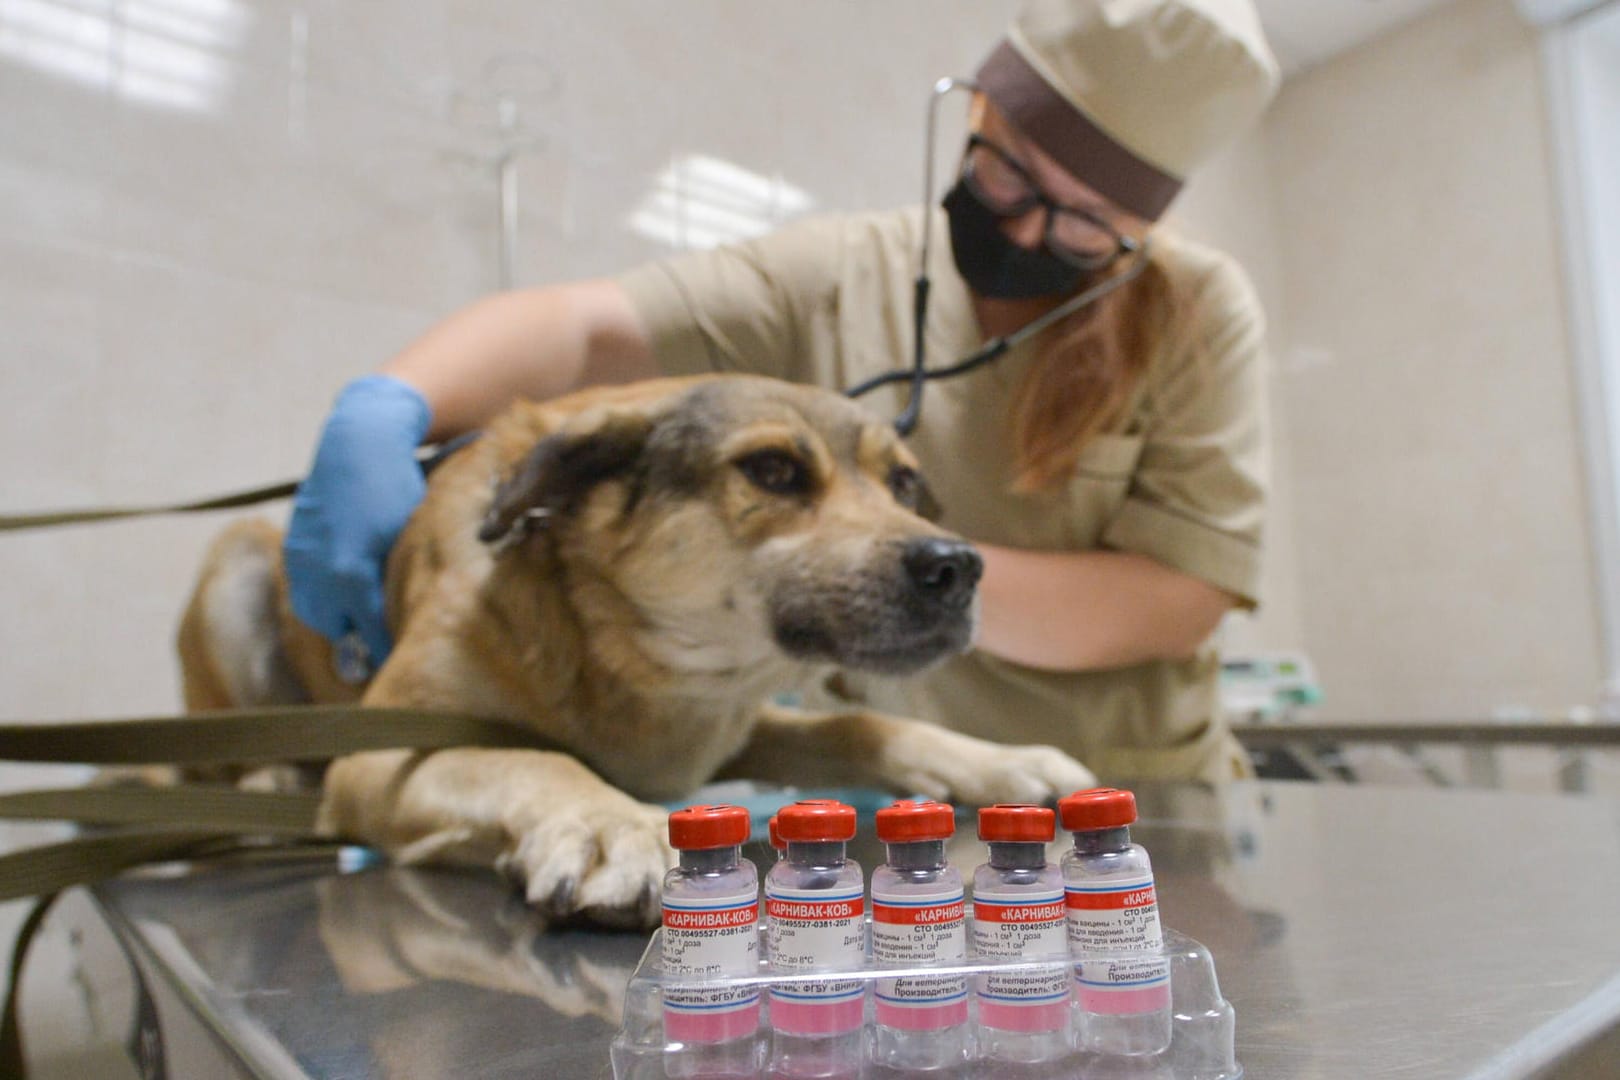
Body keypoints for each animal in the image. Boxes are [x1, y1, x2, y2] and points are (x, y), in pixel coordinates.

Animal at [177, 375, 1095, 926]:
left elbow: (859, 727)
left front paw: (999, 761)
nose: (959, 567)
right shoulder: (378, 757)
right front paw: (608, 825)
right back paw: (266, 776)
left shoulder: (737, 723)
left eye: (904, 482)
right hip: (236, 560)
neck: (623, 655)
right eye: (772, 470)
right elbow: (530, 759)